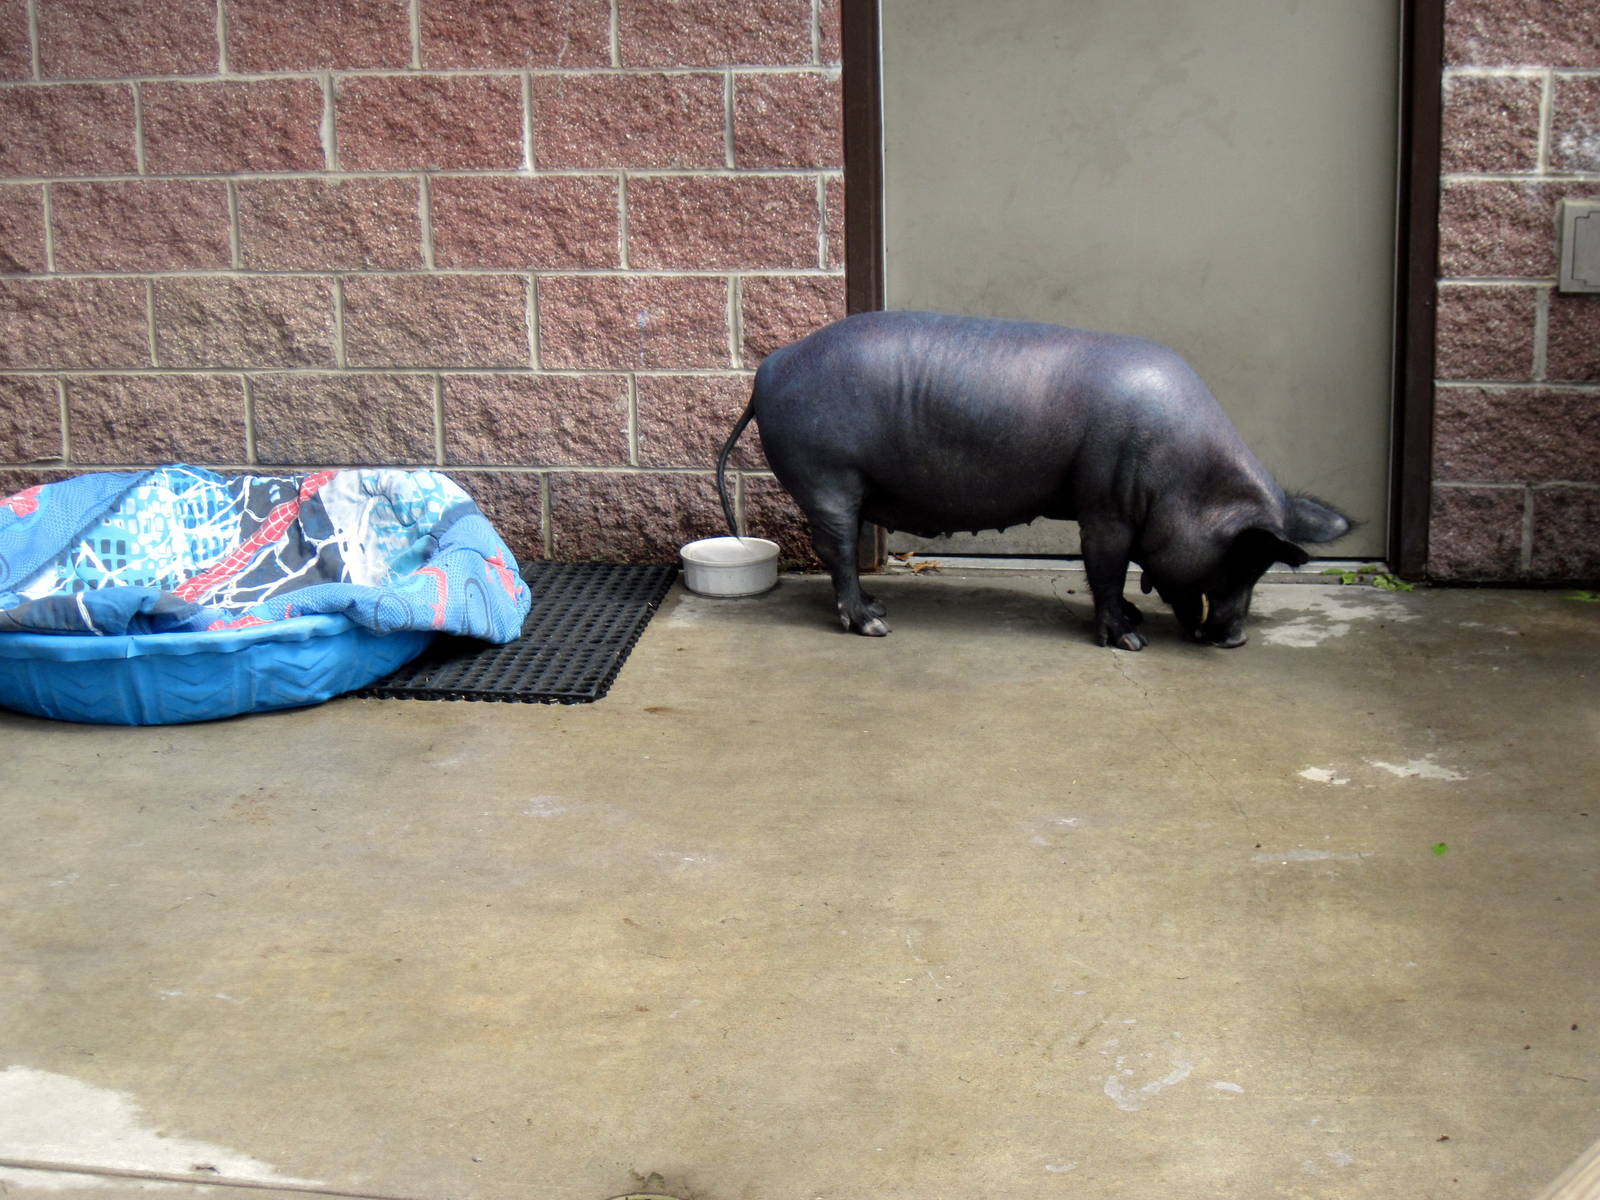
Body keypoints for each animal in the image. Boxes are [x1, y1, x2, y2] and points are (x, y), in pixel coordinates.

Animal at [716, 310, 1352, 650]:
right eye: (1240, 562)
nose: (1237, 639)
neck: (1183, 477)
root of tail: (769, 368)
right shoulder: (1105, 505)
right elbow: (1105, 568)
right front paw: (1131, 641)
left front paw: (1136, 621)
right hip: (827, 477)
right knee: (838, 549)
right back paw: (874, 625)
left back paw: (880, 606)